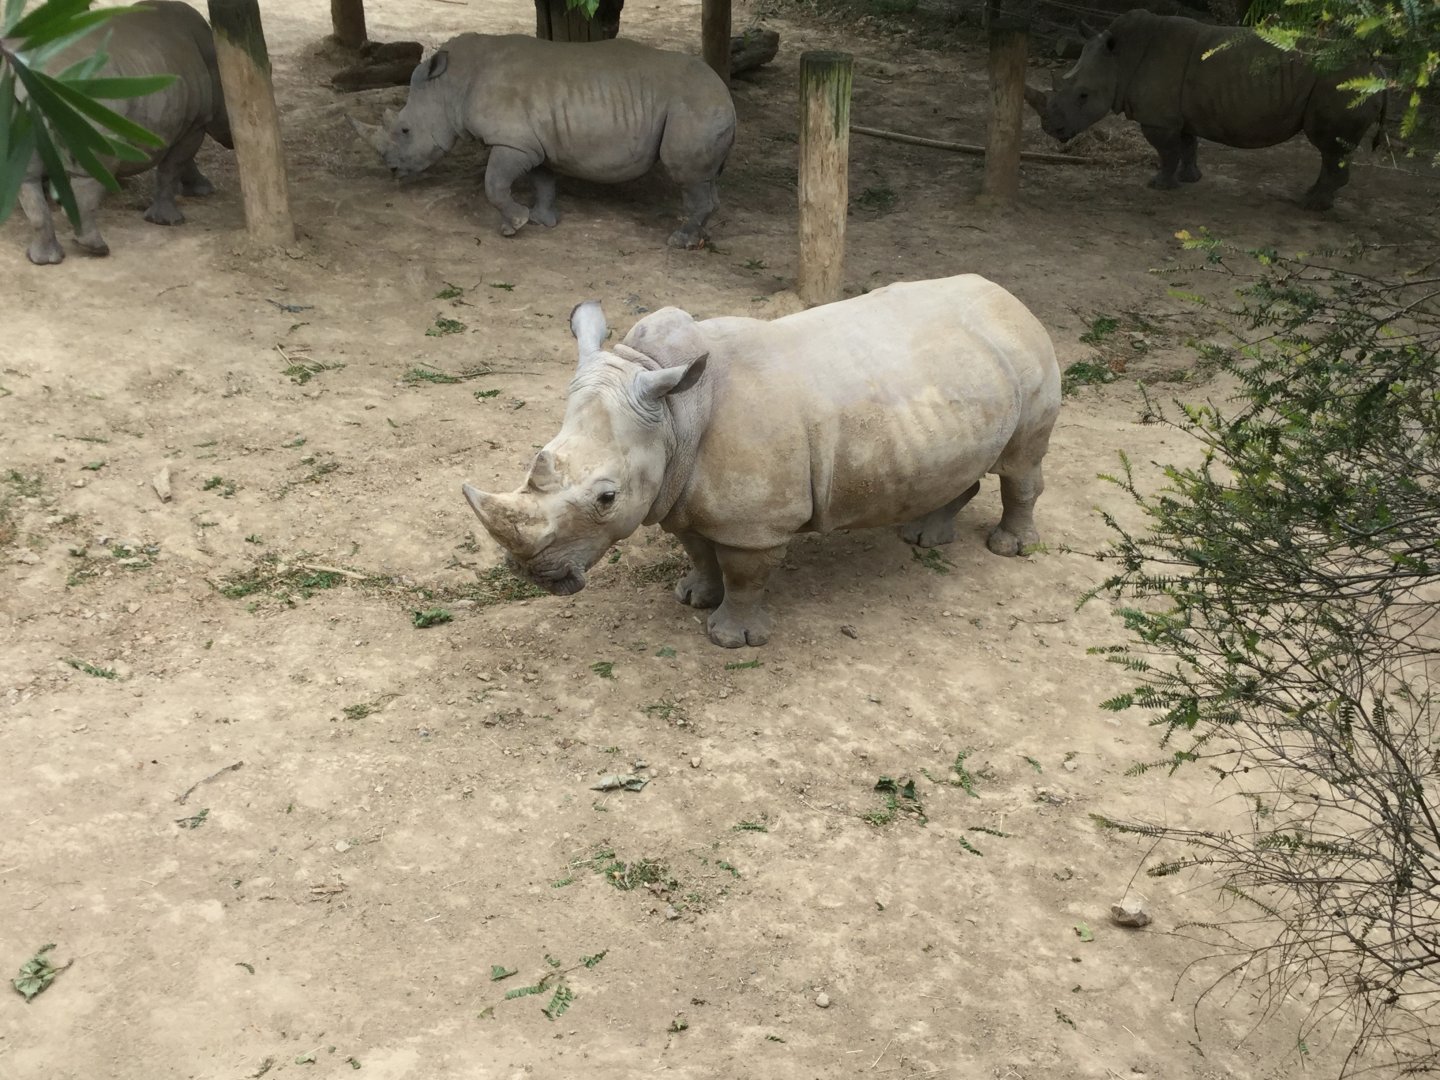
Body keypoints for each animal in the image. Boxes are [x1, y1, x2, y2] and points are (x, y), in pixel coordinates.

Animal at [16, 0, 233, 265]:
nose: (234, 142)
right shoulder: (196, 121)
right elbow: (172, 167)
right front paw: (170, 221)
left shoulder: (187, 122)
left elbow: (181, 162)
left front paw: (199, 191)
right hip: (88, 96)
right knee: (94, 169)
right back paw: (97, 249)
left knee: (27, 177)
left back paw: (43, 259)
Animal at [349, 34, 736, 249]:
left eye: (404, 131)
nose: (392, 170)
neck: (448, 87)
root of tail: (726, 94)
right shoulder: (532, 142)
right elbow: (542, 179)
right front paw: (541, 220)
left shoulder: (512, 141)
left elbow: (494, 184)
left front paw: (514, 227)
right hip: (704, 107)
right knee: (705, 178)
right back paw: (698, 237)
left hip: (696, 106)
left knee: (686, 174)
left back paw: (679, 241)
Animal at [461, 275, 1061, 648]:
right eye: (538, 461)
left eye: (607, 498)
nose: (528, 574)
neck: (675, 414)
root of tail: (1013, 300)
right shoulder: (681, 491)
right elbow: (699, 551)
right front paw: (692, 598)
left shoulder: (755, 523)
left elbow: (744, 572)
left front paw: (732, 640)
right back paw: (922, 539)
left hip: (1029, 357)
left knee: (1021, 463)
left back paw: (1009, 549)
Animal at [1034, 9, 1386, 210]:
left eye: (1083, 95)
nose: (1050, 128)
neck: (1120, 59)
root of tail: (1379, 71)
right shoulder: (1178, 114)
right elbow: (1188, 145)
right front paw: (1190, 179)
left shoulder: (1158, 120)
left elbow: (1167, 152)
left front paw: (1159, 186)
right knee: (1332, 151)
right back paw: (1312, 196)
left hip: (1341, 85)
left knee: (1330, 145)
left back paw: (1311, 206)